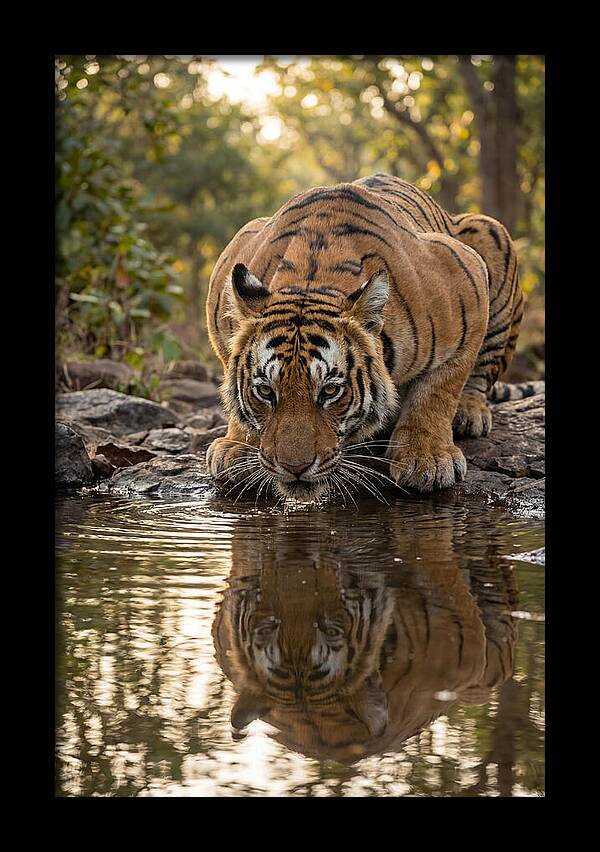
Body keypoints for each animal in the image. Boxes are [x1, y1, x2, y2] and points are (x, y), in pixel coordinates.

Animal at [205, 173, 527, 499]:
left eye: (330, 391)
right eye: (265, 391)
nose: (294, 467)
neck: (311, 280)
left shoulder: (467, 280)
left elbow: (439, 389)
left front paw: (427, 458)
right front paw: (236, 446)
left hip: (491, 232)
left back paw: (469, 413)